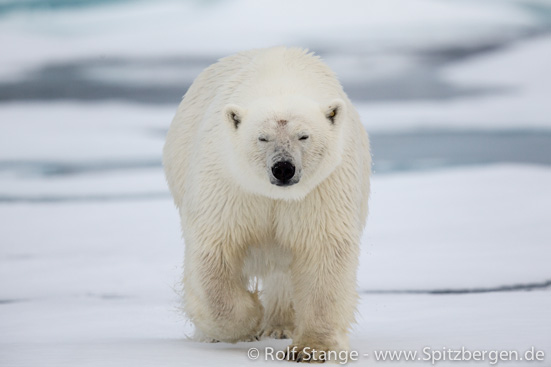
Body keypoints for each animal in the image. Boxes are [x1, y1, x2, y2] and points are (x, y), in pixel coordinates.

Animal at [162, 46, 374, 362]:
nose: (283, 168)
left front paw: (311, 348)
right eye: (262, 137)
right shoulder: (229, 185)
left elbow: (323, 253)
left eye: (303, 135)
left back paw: (280, 325)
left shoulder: (322, 190)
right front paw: (248, 320)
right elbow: (215, 252)